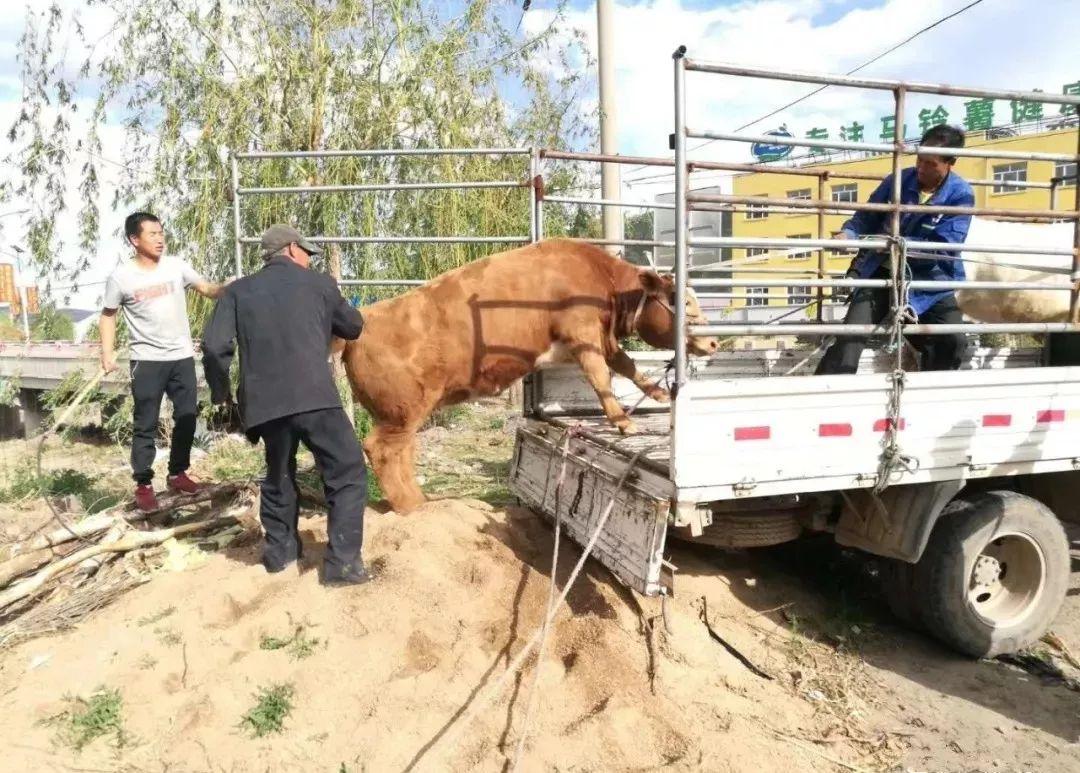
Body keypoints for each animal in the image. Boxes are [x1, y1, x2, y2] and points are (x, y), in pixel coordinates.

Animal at [341, 237, 721, 513]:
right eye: (679, 299)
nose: (714, 341)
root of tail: (365, 316)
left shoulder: (603, 338)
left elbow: (625, 365)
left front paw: (656, 392)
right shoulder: (582, 332)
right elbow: (600, 376)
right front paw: (623, 421)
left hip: (405, 414)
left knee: (401, 453)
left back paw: (420, 501)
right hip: (403, 410)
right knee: (382, 451)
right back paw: (410, 506)